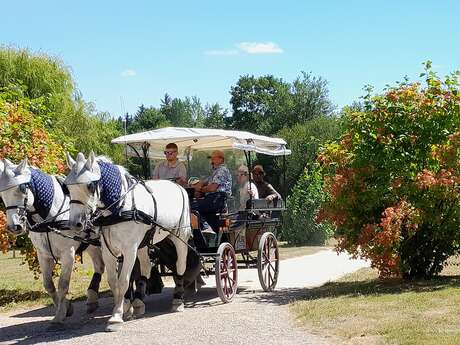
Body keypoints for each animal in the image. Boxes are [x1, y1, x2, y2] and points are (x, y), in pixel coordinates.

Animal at [0, 158, 104, 328]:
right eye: (2, 193)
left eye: (22, 188)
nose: (14, 227)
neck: (49, 217)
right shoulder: (43, 255)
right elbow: (48, 284)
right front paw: (67, 308)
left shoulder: (68, 254)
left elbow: (62, 284)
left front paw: (59, 316)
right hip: (91, 244)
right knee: (100, 266)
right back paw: (92, 298)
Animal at [64, 153, 190, 330]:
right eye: (67, 187)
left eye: (90, 186)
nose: (75, 223)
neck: (119, 208)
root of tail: (178, 186)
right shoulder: (108, 250)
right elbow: (113, 281)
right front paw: (123, 308)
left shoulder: (130, 249)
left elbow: (123, 281)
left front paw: (116, 316)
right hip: (144, 243)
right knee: (146, 268)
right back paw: (138, 302)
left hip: (180, 237)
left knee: (180, 266)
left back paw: (178, 300)